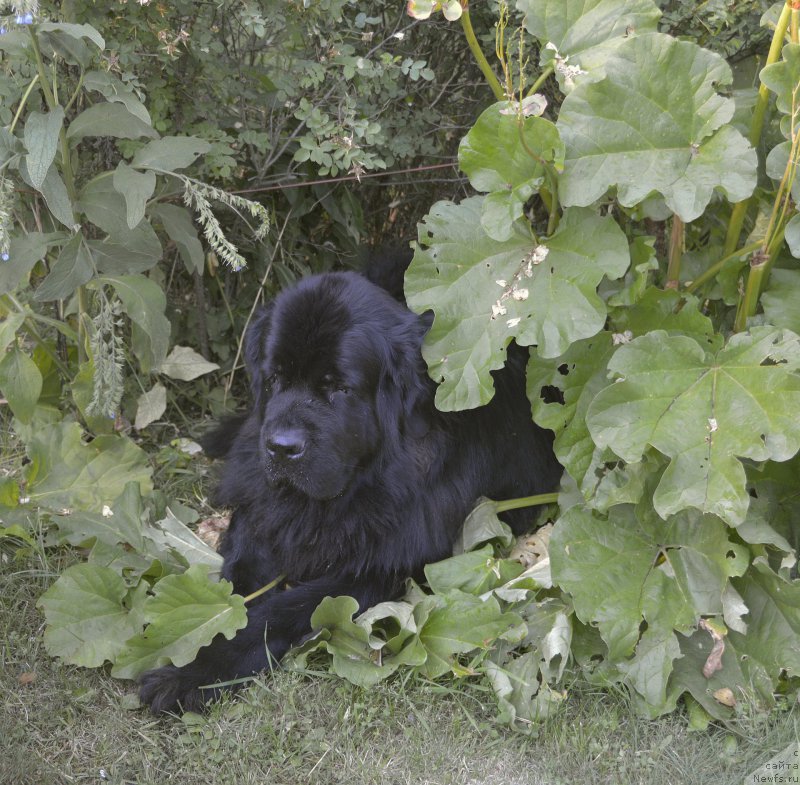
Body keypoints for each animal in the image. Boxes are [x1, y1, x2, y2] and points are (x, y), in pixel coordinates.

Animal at [139, 264, 564, 712]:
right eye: (275, 379)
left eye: (339, 388)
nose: (281, 447)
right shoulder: (261, 515)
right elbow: (236, 588)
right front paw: (206, 628)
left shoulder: (382, 567)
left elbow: (284, 609)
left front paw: (188, 674)